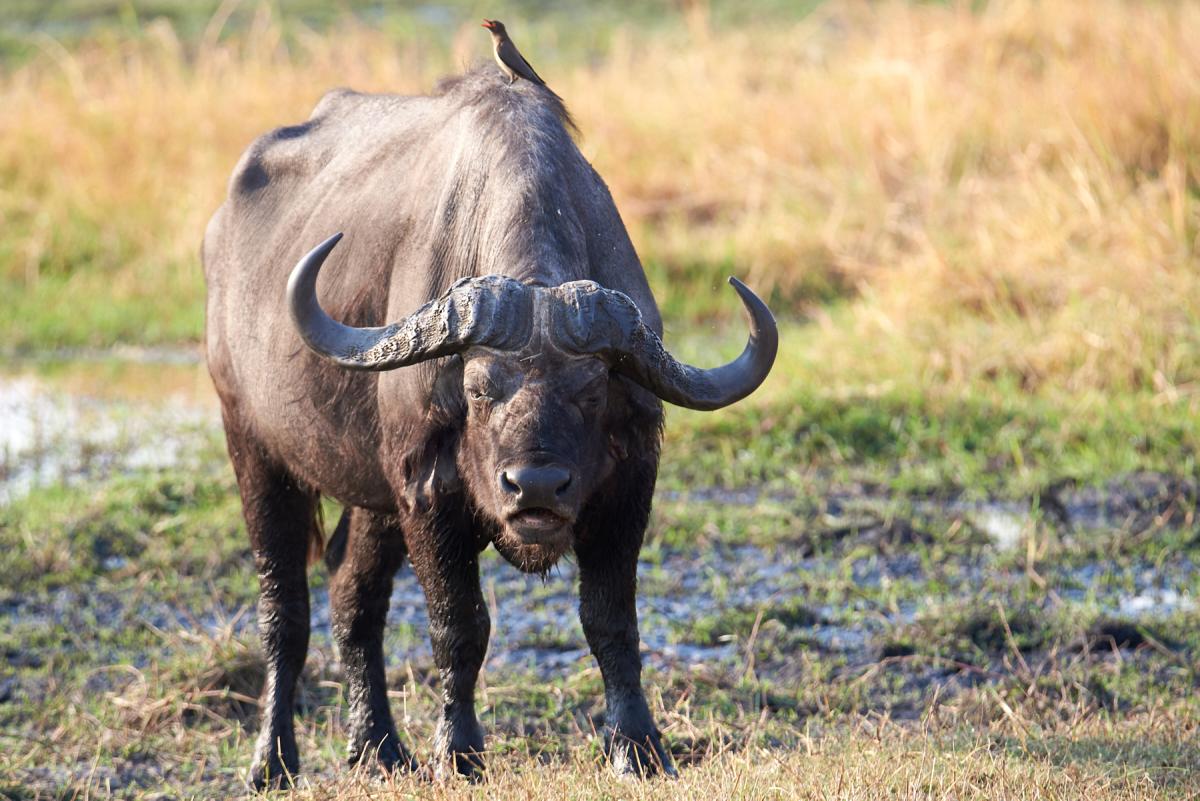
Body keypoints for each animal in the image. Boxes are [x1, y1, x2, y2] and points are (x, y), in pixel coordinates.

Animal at [202, 66, 777, 788]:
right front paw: (458, 752)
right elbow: (459, 628)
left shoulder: (628, 485)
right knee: (285, 609)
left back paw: (379, 747)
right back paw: (273, 761)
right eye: (477, 388)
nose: (535, 487)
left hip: (372, 497)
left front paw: (638, 747)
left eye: (592, 390)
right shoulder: (426, 492)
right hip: (252, 446)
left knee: (352, 594)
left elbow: (611, 621)